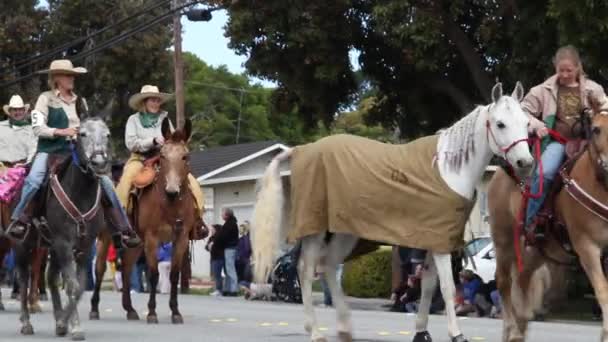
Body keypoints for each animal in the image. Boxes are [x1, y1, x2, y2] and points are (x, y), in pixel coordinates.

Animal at [14, 116, 113, 340]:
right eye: (82, 134)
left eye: (107, 134)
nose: (99, 163)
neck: (80, 193)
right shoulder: (64, 243)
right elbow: (71, 285)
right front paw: (75, 327)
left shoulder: (84, 246)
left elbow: (79, 287)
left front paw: (63, 322)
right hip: (24, 244)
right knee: (23, 278)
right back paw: (25, 323)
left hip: (51, 247)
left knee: (50, 278)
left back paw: (58, 316)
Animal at [249, 83, 536, 342]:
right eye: (500, 124)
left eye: (526, 123)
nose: (525, 162)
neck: (449, 170)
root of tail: (302, 150)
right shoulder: (440, 246)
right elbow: (447, 287)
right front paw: (457, 335)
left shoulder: (434, 239)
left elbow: (428, 287)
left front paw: (421, 332)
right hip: (316, 231)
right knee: (307, 271)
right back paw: (316, 332)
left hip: (345, 232)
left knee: (328, 267)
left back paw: (344, 327)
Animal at [490, 110, 608, 342]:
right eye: (596, 129)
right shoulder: (587, 247)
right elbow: (602, 291)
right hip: (503, 240)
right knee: (504, 281)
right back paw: (512, 328)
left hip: (538, 250)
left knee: (523, 279)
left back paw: (520, 326)